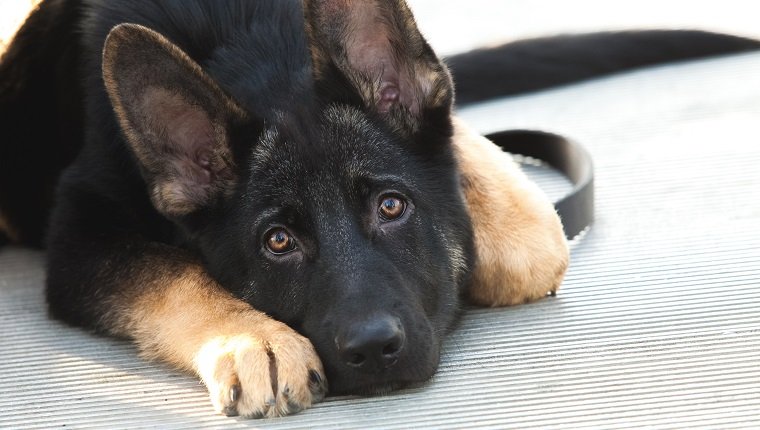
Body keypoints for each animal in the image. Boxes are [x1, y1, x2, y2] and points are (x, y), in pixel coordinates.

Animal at [2, 0, 756, 420]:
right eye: (278, 242)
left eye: (393, 206)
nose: (370, 350)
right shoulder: (81, 229)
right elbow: (170, 273)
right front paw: (253, 340)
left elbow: (531, 239)